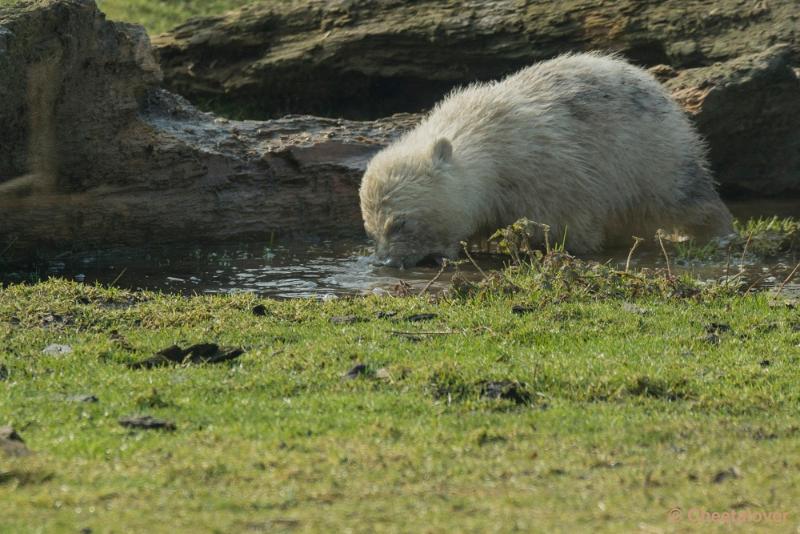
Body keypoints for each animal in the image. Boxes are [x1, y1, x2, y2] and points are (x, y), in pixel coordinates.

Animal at [360, 53, 736, 266]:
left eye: (400, 223)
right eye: (370, 229)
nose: (386, 262)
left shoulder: (549, 175)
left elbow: (572, 226)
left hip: (652, 154)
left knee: (685, 196)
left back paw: (717, 231)